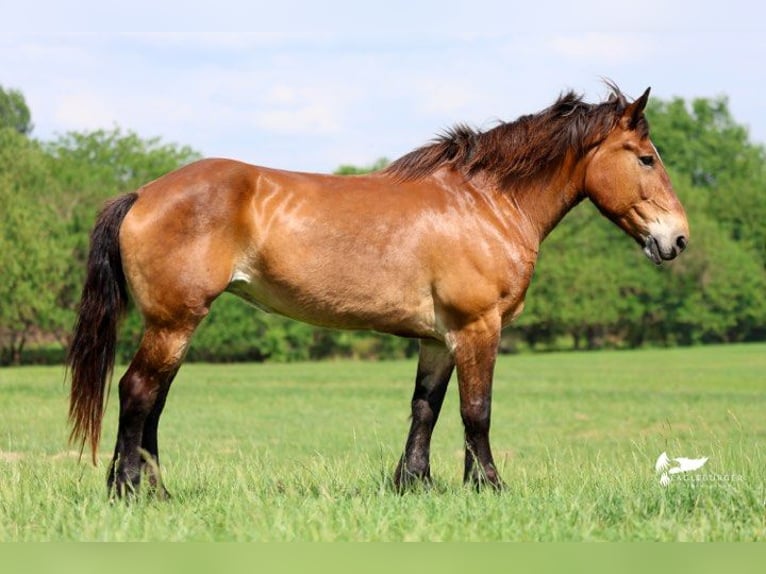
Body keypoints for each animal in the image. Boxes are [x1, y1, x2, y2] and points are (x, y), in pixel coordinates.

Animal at [67, 85, 689, 497]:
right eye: (646, 158)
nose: (677, 238)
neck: (483, 203)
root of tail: (144, 193)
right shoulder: (477, 328)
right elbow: (477, 411)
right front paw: (489, 486)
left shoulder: (439, 339)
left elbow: (425, 408)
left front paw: (414, 483)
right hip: (173, 322)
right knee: (138, 392)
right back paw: (133, 491)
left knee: (153, 400)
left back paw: (149, 488)